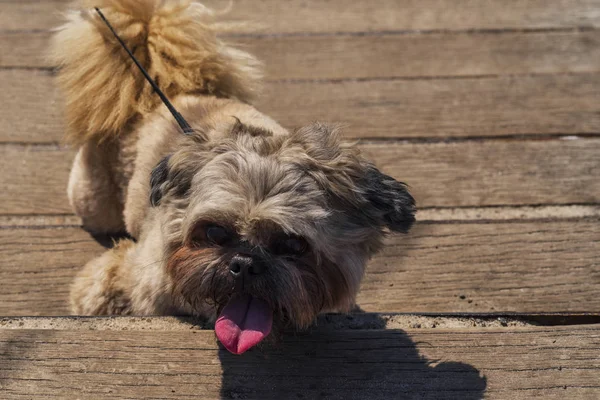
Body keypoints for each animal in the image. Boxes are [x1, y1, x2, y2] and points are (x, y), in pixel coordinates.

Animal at [51, 0, 414, 354]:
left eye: (294, 245)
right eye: (213, 232)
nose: (244, 263)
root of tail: (164, 91)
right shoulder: (111, 282)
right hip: (94, 203)